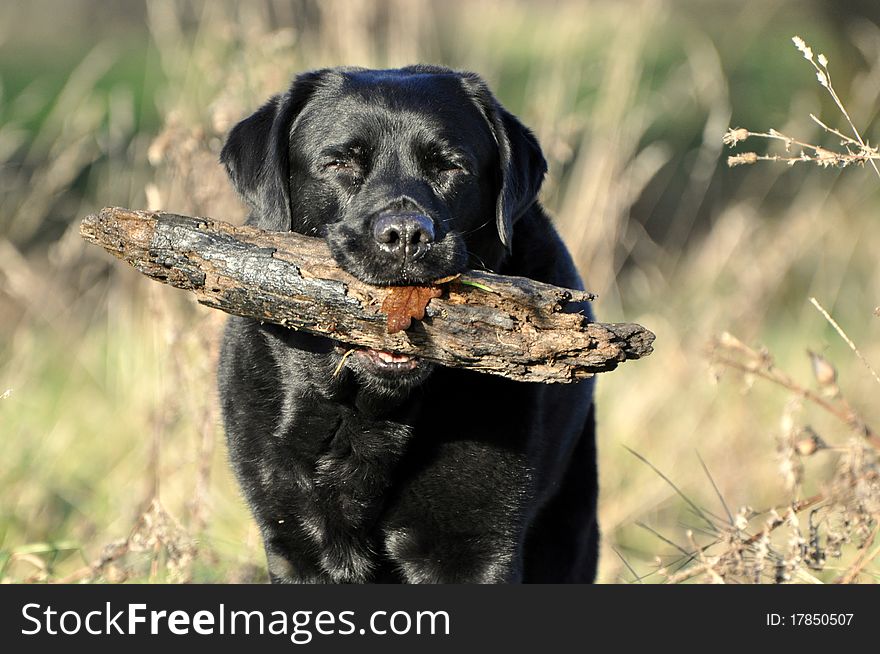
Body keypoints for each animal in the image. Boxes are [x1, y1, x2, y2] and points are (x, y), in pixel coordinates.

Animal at [218, 66, 600, 584]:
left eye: (450, 167)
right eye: (339, 162)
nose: (406, 235)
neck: (368, 416)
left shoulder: (476, 550)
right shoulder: (293, 543)